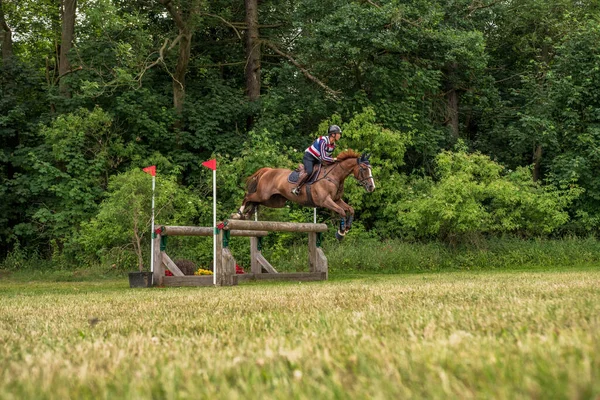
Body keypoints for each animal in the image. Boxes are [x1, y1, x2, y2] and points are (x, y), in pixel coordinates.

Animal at [231, 149, 376, 238]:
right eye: (364, 169)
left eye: (370, 168)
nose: (371, 187)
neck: (334, 176)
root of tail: (268, 170)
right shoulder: (325, 201)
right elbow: (341, 211)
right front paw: (340, 232)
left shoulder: (336, 200)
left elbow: (350, 209)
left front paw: (347, 227)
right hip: (263, 194)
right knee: (248, 196)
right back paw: (238, 214)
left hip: (273, 201)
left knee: (255, 202)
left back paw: (246, 215)